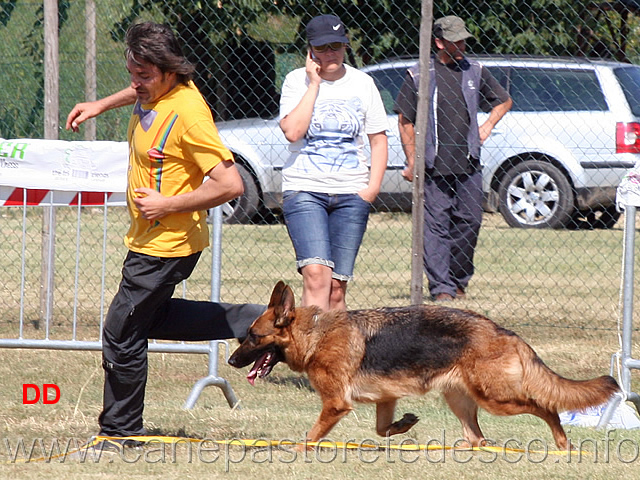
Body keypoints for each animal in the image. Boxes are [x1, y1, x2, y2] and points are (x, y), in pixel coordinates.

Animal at [228, 282, 616, 450]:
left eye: (252, 337)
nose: (231, 361)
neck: (315, 335)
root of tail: (503, 331)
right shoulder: (385, 399)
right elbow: (382, 430)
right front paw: (405, 425)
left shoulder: (336, 405)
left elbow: (310, 436)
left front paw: (296, 452)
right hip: (461, 400)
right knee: (476, 437)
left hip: (497, 399)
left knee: (547, 407)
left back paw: (562, 443)